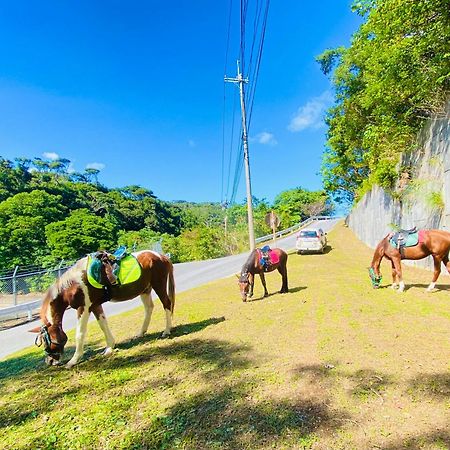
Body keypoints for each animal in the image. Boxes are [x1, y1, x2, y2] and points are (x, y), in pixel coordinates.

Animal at [29, 250, 174, 370]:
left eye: (46, 340)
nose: (49, 361)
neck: (74, 285)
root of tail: (161, 256)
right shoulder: (95, 305)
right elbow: (103, 325)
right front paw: (109, 347)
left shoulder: (84, 308)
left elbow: (80, 333)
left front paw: (73, 361)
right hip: (145, 290)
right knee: (149, 308)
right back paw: (141, 333)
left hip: (158, 285)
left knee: (167, 304)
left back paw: (167, 331)